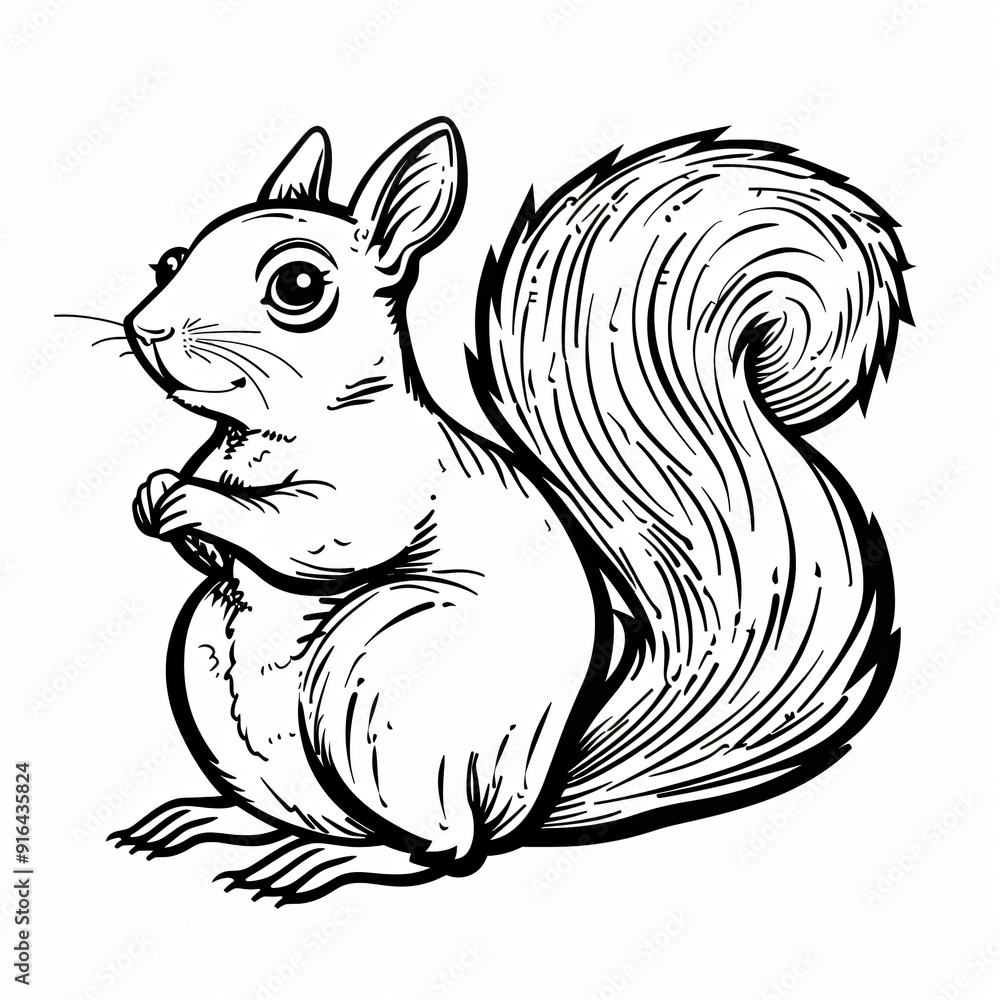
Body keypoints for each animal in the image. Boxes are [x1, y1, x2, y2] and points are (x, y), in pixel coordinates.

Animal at [110, 117, 909, 904]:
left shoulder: (386, 485)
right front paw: (157, 496)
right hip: (210, 676)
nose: (146, 328)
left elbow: (316, 534)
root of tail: (523, 804)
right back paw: (217, 819)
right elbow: (214, 550)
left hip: (376, 685)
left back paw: (329, 861)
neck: (265, 438)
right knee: (315, 817)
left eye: (298, 285)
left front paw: (195, 501)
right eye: (170, 261)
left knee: (443, 850)